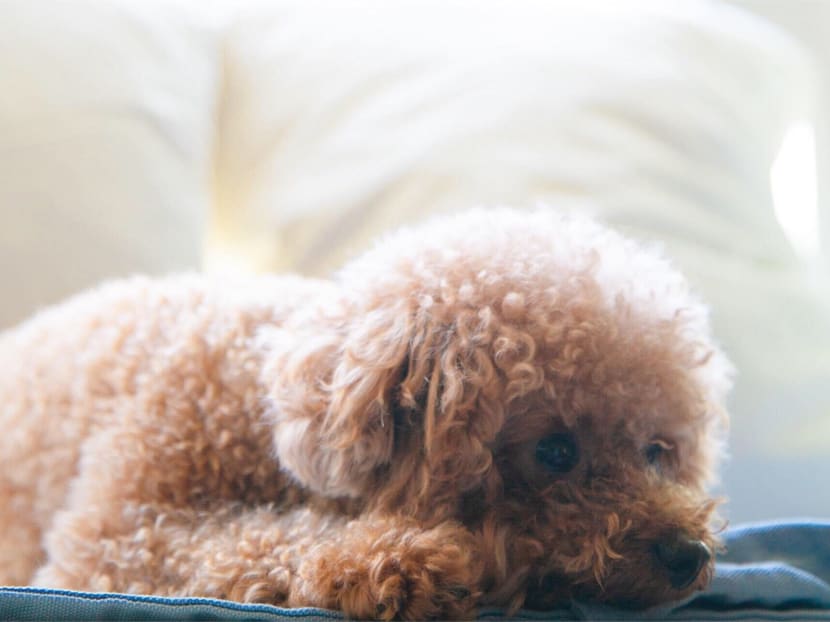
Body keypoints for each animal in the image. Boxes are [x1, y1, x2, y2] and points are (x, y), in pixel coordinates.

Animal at [0, 208, 732, 620]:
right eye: (555, 451)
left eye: (656, 450)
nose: (688, 554)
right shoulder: (113, 536)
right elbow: (237, 541)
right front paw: (396, 563)